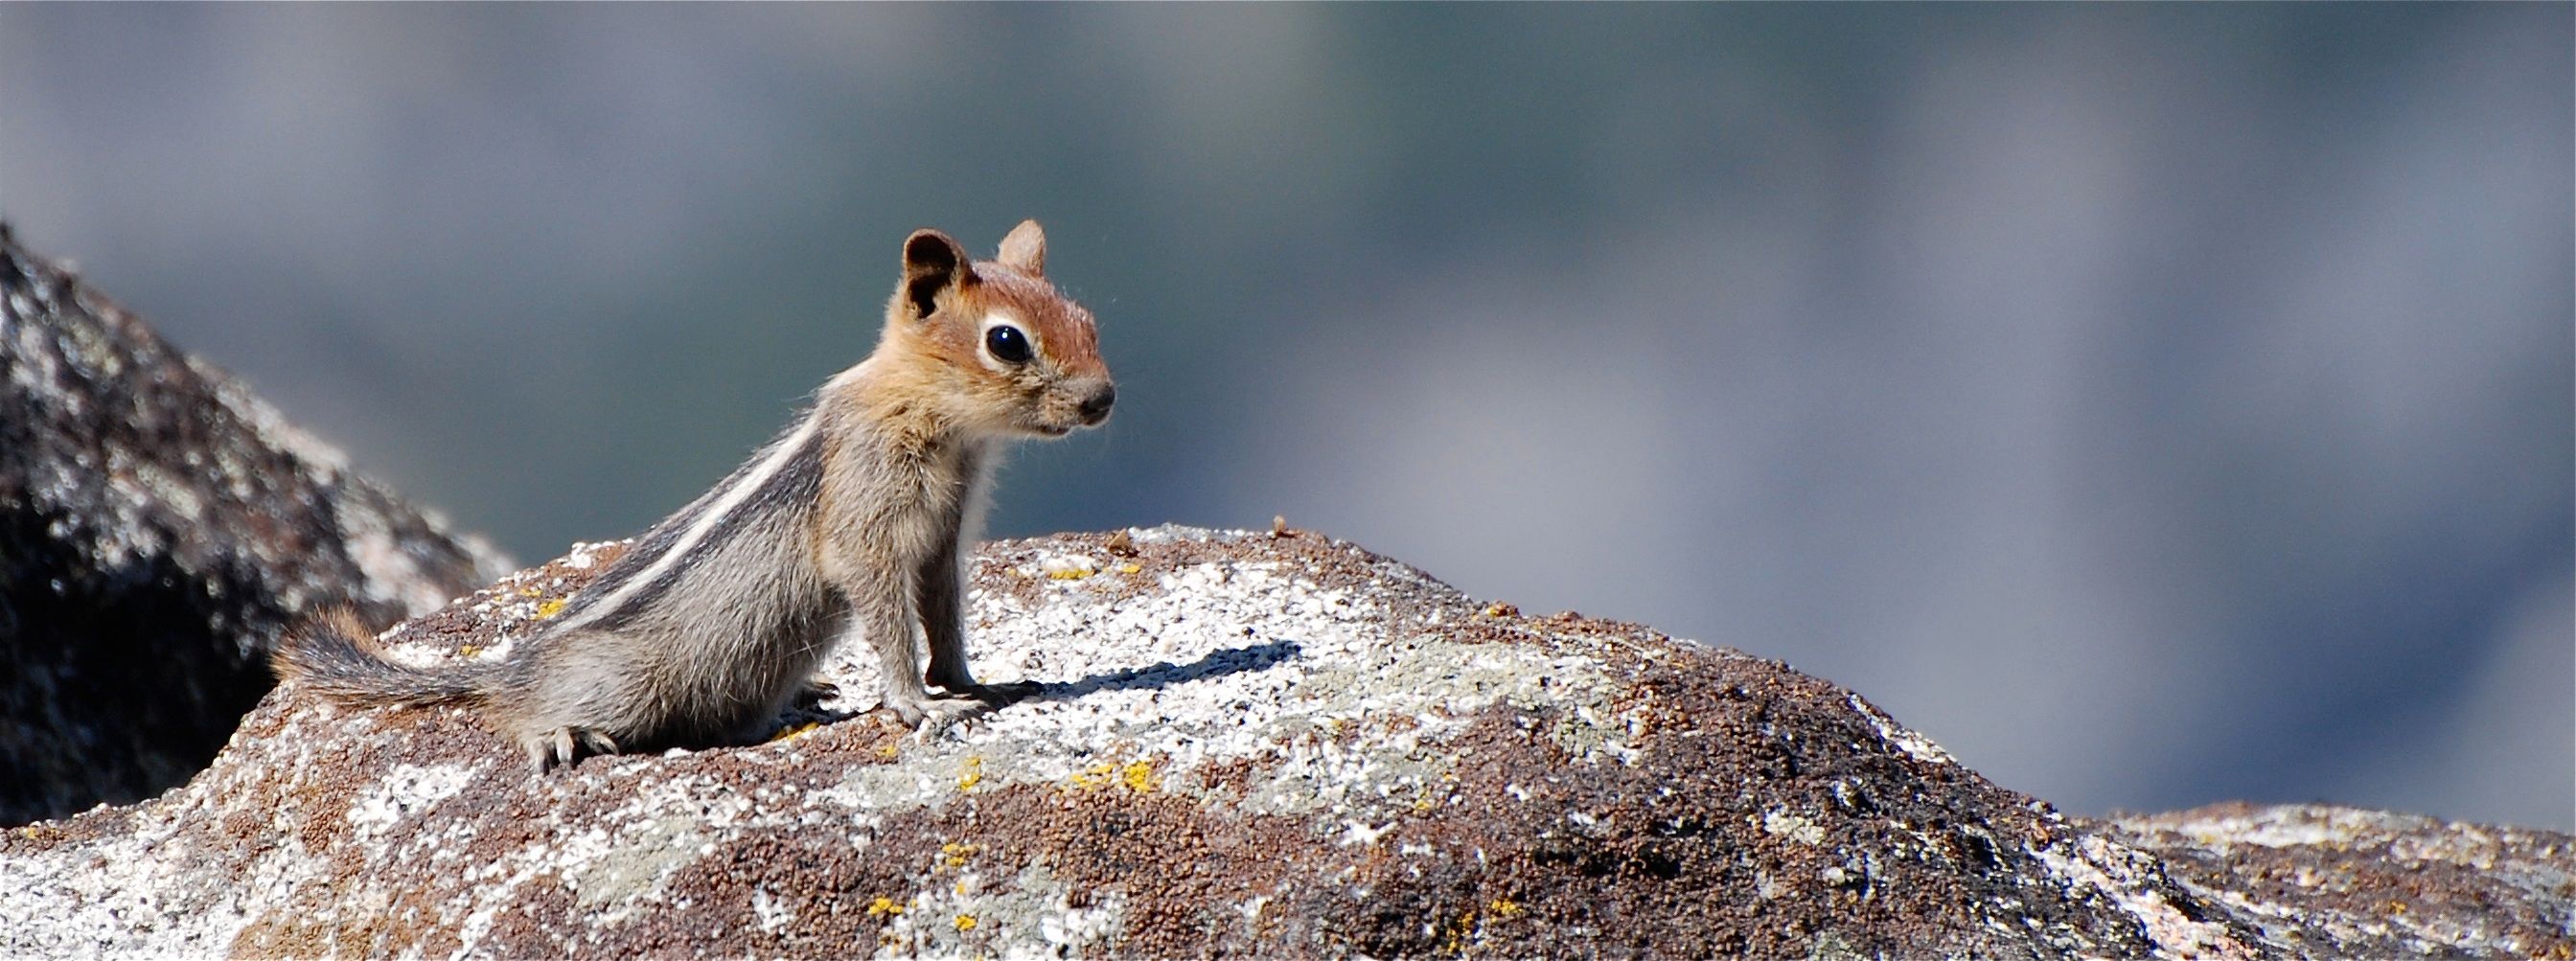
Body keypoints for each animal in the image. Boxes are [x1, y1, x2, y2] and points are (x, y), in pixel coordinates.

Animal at [274, 220, 1114, 772]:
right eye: (1006, 341)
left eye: (1088, 320)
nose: (1103, 399)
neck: (941, 423)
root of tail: (512, 665)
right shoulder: (868, 522)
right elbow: (887, 615)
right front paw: (920, 704)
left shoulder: (944, 538)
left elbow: (944, 615)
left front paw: (975, 682)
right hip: (617, 688)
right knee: (514, 714)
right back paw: (555, 731)